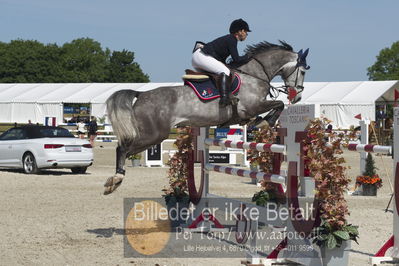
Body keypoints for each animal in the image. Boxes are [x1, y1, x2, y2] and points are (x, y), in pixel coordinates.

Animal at [102, 42, 310, 195]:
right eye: (303, 71)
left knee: (126, 149)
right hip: (154, 134)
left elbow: (274, 107)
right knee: (123, 148)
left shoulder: (249, 111)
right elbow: (278, 104)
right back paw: (116, 179)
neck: (254, 75)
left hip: (152, 134)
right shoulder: (252, 106)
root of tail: (141, 95)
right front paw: (266, 121)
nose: (298, 97)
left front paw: (259, 122)